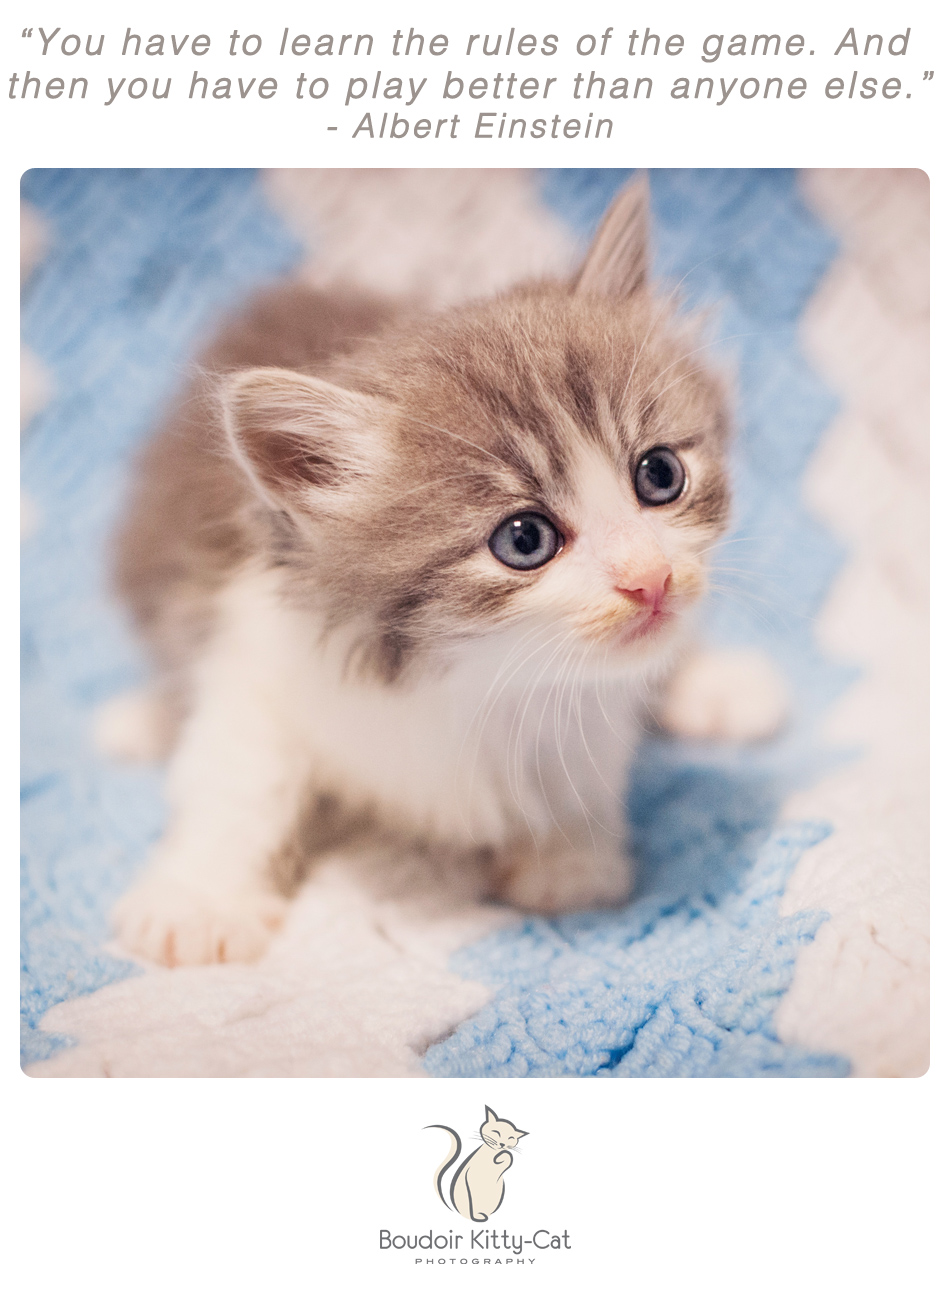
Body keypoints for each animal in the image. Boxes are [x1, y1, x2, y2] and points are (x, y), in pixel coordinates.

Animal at [105, 181, 784, 970]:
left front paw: (569, 854)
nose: (649, 579)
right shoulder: (260, 654)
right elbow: (240, 776)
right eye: (524, 539)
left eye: (660, 475)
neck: (477, 679)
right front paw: (198, 902)